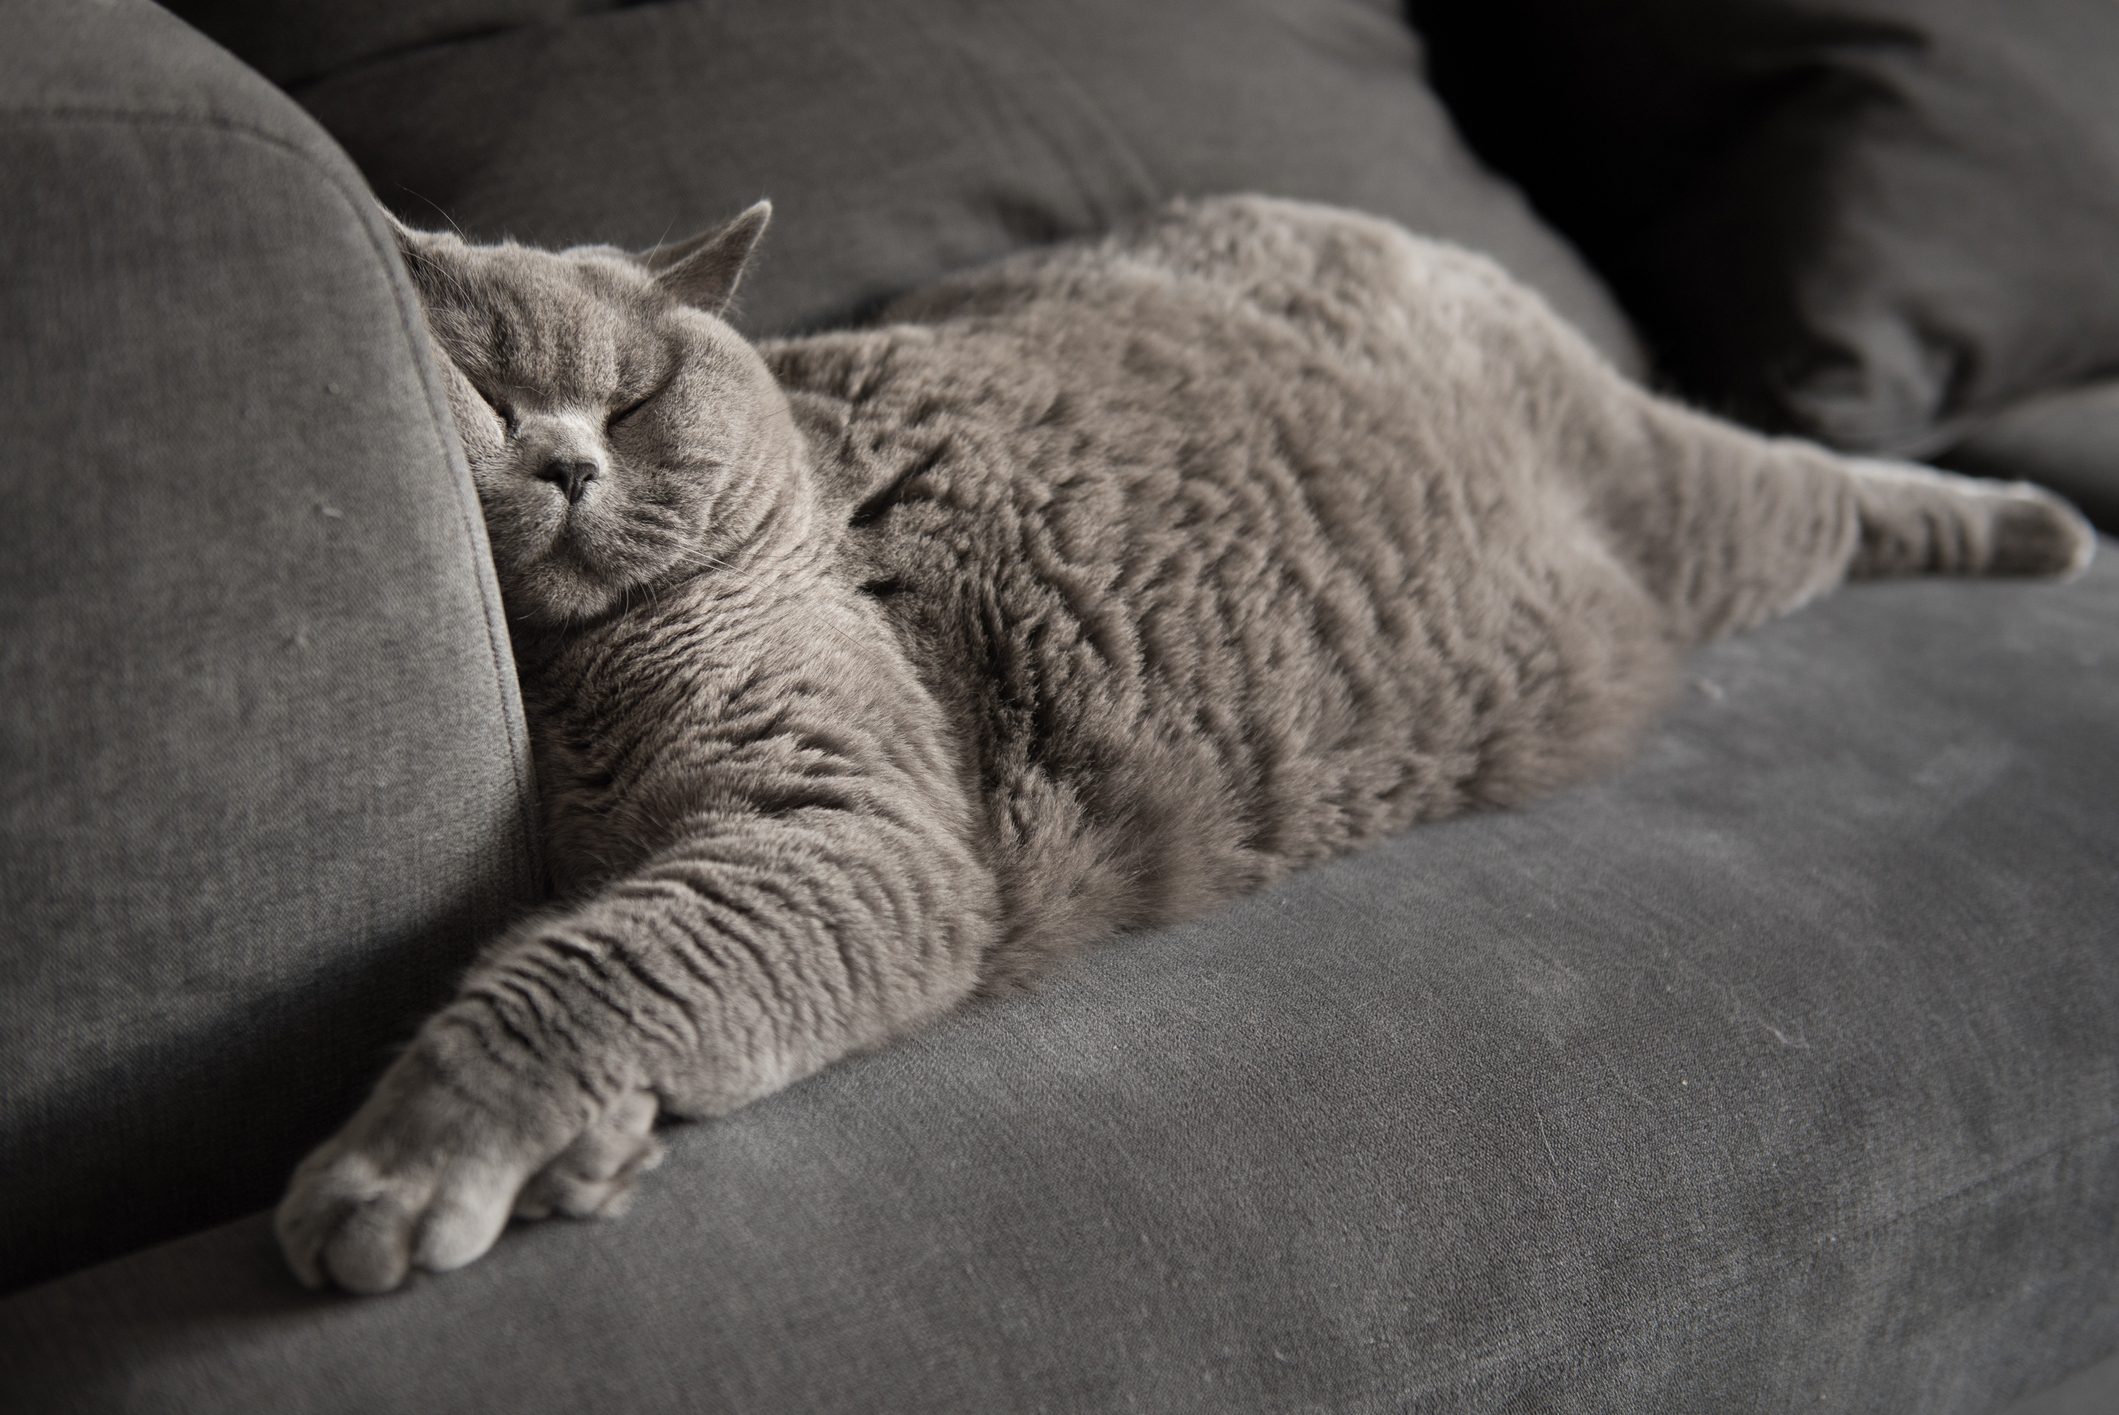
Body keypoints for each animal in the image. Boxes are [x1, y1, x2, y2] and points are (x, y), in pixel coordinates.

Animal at [273, 195, 2093, 1296]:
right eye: (486, 392)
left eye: (640, 397)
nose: (568, 462)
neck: (575, 683)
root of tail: (1357, 213)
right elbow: (607, 943)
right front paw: (589, 1152)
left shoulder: (852, 824)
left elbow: (593, 964)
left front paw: (397, 1171)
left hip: (1690, 519)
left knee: (1826, 481)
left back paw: (2040, 528)